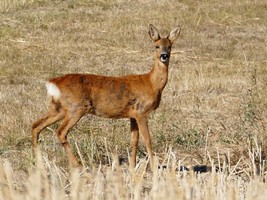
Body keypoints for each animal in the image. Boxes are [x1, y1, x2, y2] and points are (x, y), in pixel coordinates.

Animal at [31, 23, 182, 170]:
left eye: (170, 46)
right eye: (156, 46)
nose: (164, 55)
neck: (151, 83)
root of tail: (53, 83)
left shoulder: (132, 114)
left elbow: (134, 140)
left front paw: (132, 167)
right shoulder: (141, 111)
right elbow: (147, 140)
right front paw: (154, 167)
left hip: (58, 108)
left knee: (36, 125)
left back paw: (38, 161)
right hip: (76, 107)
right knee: (60, 131)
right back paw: (77, 165)